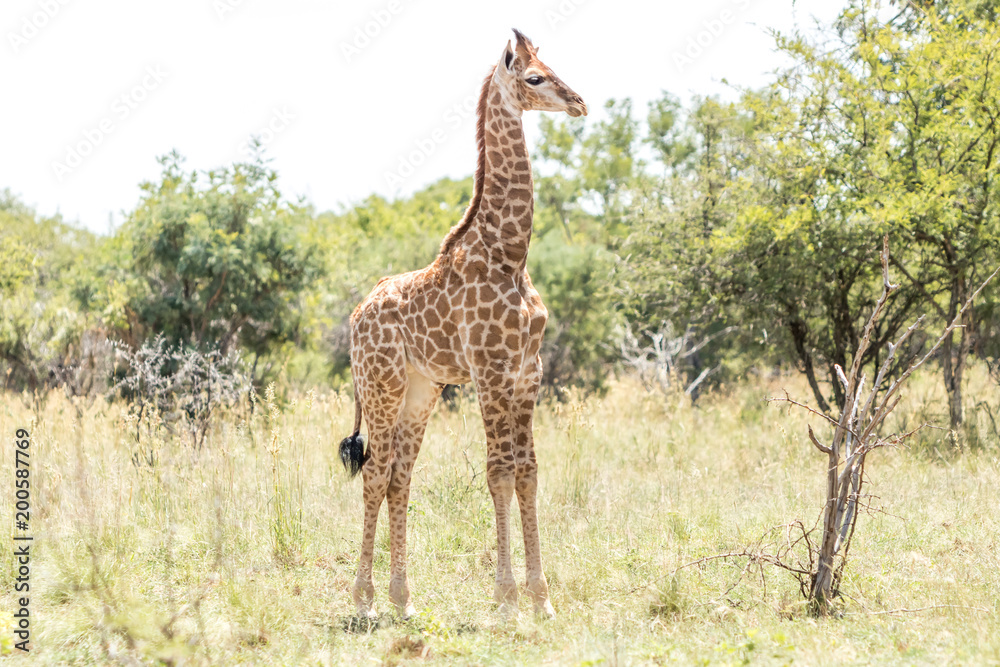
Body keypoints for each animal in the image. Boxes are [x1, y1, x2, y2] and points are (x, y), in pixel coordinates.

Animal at [339, 28, 586, 621]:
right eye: (535, 76)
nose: (579, 103)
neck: (510, 254)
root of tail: (355, 317)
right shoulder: (491, 371)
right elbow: (499, 473)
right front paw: (507, 601)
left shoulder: (527, 372)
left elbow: (528, 473)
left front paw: (542, 600)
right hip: (380, 386)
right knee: (376, 473)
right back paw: (364, 601)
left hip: (420, 390)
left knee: (399, 478)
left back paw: (403, 601)